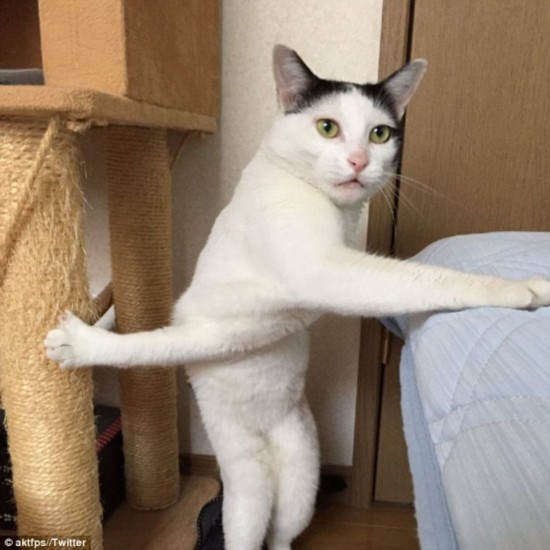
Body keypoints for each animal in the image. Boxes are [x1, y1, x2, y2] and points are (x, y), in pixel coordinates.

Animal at [45, 45, 550, 548]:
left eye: (380, 134)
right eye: (327, 127)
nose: (359, 161)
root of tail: (268, 438)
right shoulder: (324, 271)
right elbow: (426, 279)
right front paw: (523, 288)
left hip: (301, 479)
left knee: (282, 531)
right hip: (244, 475)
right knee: (245, 525)